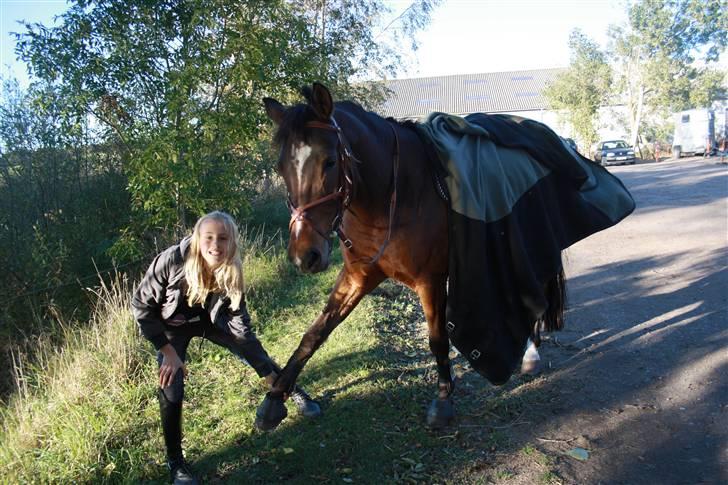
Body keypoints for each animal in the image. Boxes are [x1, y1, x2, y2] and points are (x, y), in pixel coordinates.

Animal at [256, 81, 544, 430]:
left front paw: (443, 401)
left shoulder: (431, 280)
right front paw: (274, 399)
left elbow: (437, 339)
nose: (305, 256)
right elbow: (316, 332)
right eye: (281, 167)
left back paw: (531, 353)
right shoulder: (358, 276)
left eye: (330, 161)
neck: (391, 198)